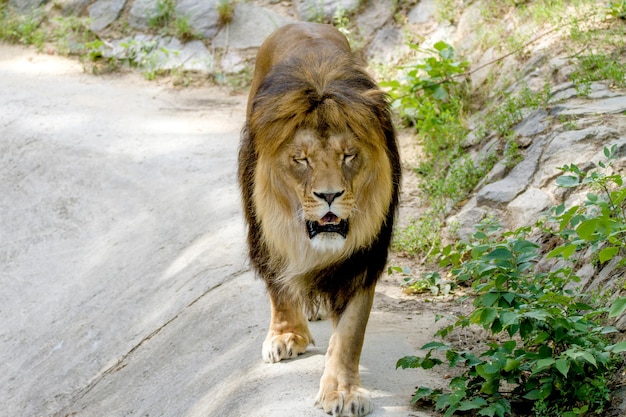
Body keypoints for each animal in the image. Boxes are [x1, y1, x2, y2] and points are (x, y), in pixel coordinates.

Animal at [239, 22, 400, 416]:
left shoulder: (362, 260)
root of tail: (301, 23)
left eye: (349, 155)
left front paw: (342, 391)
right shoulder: (267, 236)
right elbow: (279, 288)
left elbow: (350, 334)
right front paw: (286, 336)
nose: (330, 196)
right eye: (302, 159)